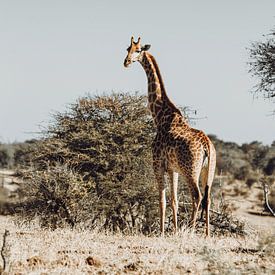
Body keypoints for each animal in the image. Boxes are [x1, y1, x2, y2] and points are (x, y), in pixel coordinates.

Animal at [124, 36, 217, 237]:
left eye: (138, 50)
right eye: (127, 48)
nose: (126, 62)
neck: (160, 116)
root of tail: (207, 145)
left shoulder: (157, 164)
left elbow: (162, 200)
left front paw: (162, 232)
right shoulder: (173, 169)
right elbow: (174, 201)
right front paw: (172, 231)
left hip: (191, 170)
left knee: (197, 196)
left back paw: (191, 230)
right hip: (209, 170)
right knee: (208, 197)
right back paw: (206, 234)